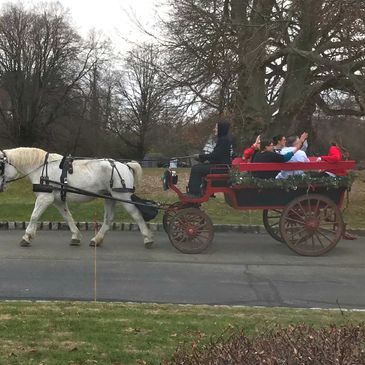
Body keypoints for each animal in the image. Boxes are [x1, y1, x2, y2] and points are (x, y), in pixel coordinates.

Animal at [0, 148, 154, 247]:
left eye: (0, 166)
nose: (0, 188)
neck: (41, 168)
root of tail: (126, 165)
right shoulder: (58, 201)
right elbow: (68, 217)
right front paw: (75, 237)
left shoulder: (45, 198)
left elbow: (34, 216)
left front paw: (26, 237)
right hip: (109, 196)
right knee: (108, 219)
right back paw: (96, 240)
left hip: (122, 195)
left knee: (137, 215)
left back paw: (148, 239)